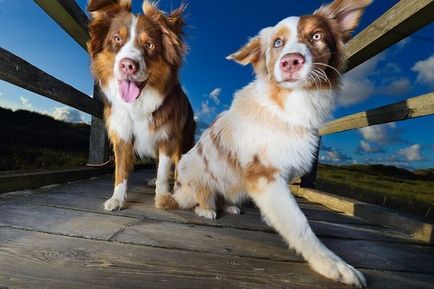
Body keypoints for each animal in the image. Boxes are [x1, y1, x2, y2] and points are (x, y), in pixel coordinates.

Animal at [87, 0, 195, 209]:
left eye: (149, 45)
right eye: (117, 39)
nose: (128, 65)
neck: (137, 105)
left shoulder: (168, 136)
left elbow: (164, 172)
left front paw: (163, 196)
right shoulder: (122, 133)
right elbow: (121, 170)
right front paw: (117, 198)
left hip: (184, 140)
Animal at [161, 0, 372, 286]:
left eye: (316, 36)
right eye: (277, 43)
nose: (291, 61)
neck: (289, 106)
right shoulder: (265, 174)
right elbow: (298, 222)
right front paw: (332, 264)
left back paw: (229, 206)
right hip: (195, 178)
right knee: (199, 197)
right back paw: (206, 209)